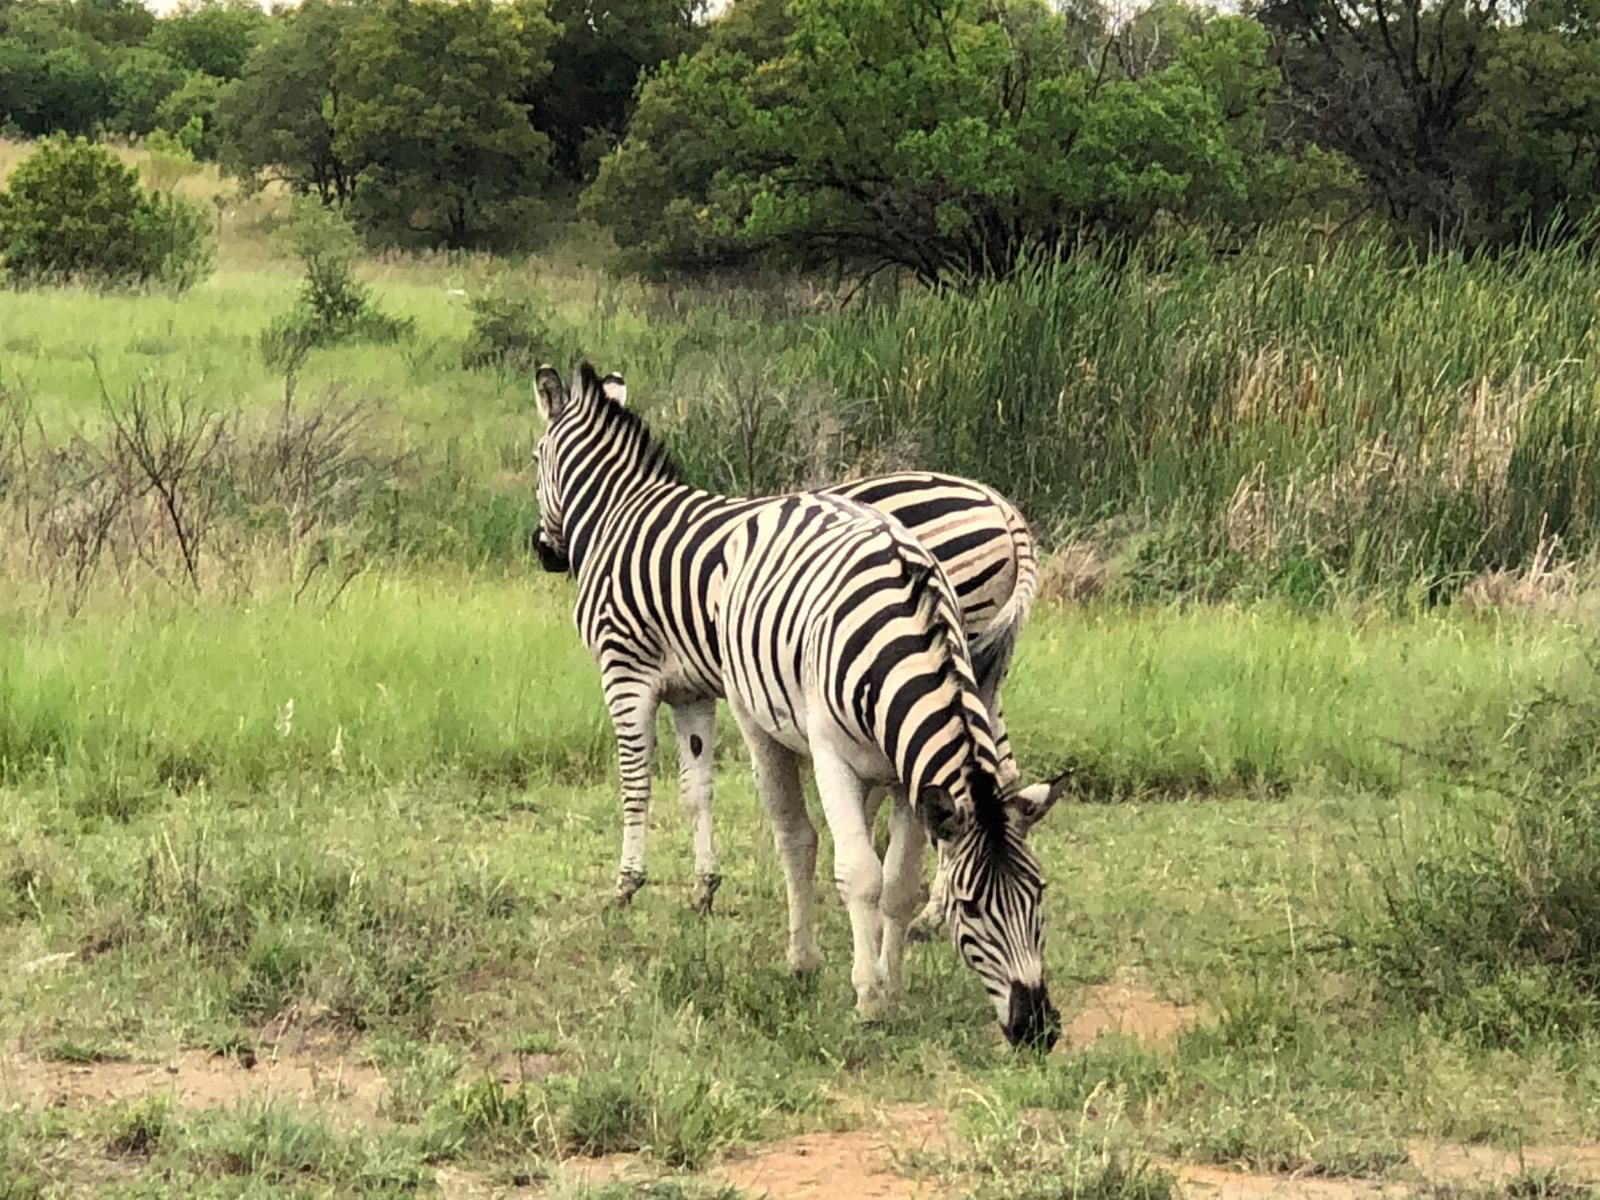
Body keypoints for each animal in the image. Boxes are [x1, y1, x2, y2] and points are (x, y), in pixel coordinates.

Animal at [531, 361, 1043, 928]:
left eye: (535, 458)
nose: (543, 551)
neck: (616, 517)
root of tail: (1004, 509)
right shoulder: (690, 690)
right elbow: (697, 787)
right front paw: (703, 888)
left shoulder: (624, 669)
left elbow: (635, 779)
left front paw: (626, 884)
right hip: (981, 663)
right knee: (996, 769)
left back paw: (932, 910)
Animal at [713, 492, 1062, 1049]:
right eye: (969, 907)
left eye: (1040, 892)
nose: (1036, 1030)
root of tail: (801, 496)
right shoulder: (833, 758)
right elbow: (859, 875)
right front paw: (869, 998)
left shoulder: (911, 779)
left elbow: (896, 884)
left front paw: (891, 983)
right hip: (755, 721)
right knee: (797, 838)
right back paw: (803, 959)